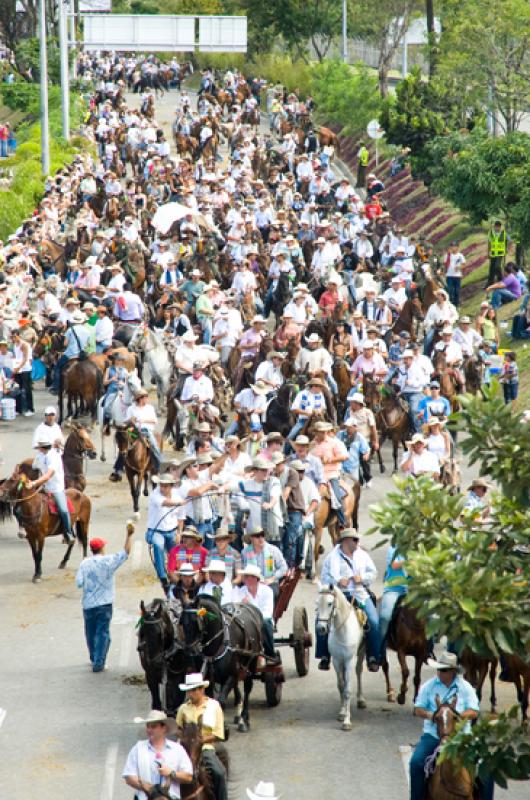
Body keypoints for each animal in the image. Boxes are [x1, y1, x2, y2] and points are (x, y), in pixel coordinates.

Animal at [180, 592, 262, 732]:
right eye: (182, 622)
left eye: (196, 622)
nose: (190, 650)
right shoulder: (208, 678)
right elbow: (210, 700)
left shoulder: (231, 675)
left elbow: (221, 701)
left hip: (251, 664)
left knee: (247, 689)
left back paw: (244, 719)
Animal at [316, 584, 366, 728]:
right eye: (317, 603)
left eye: (329, 603)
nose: (321, 628)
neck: (342, 631)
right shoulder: (337, 661)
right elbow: (341, 685)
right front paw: (342, 712)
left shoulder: (349, 660)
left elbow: (347, 689)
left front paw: (347, 721)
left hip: (361, 653)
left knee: (359, 671)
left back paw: (361, 699)